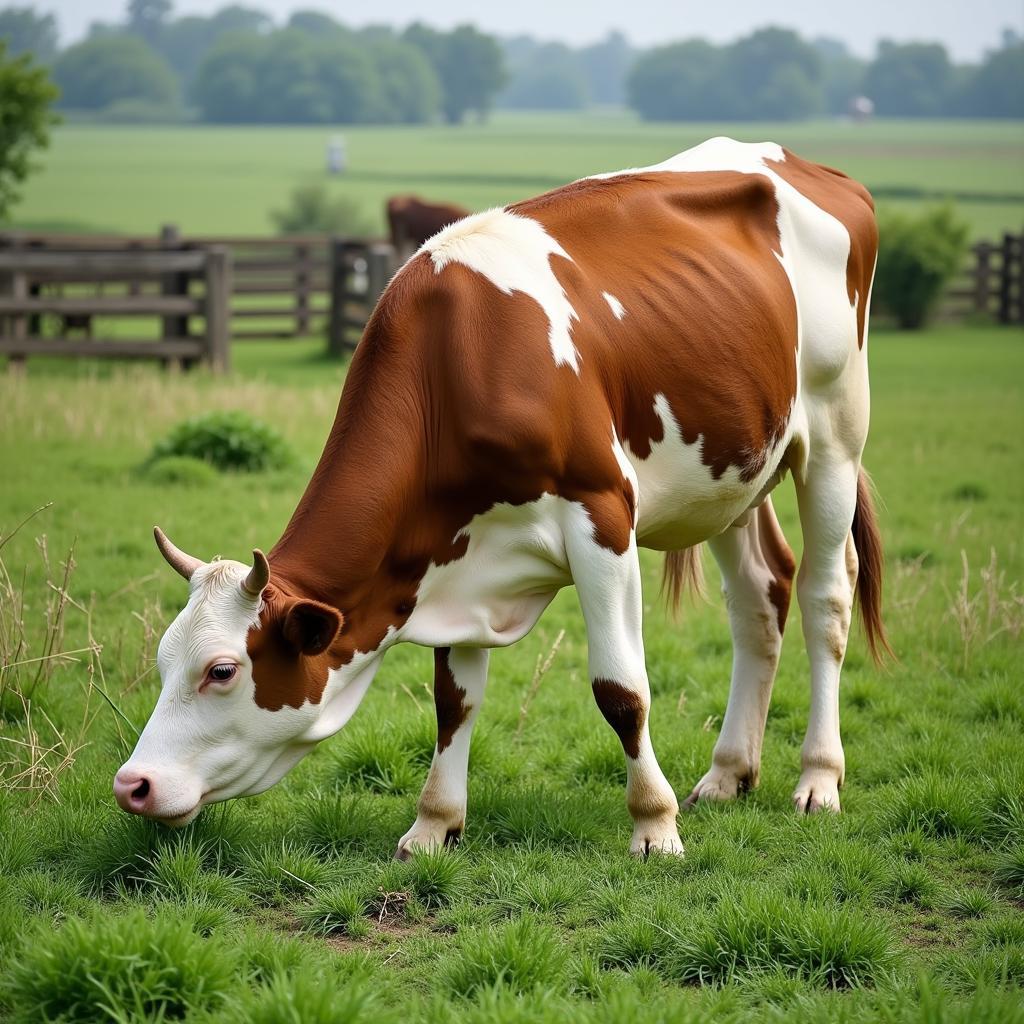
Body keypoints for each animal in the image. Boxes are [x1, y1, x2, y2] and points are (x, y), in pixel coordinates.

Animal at [116, 136, 888, 856]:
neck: (457, 366)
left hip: (834, 435)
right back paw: (729, 772)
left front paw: (654, 824)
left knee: (825, 597)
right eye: (162, 658)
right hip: (733, 467)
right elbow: (453, 702)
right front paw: (434, 824)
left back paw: (819, 778)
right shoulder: (450, 553)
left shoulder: (602, 515)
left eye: (222, 670)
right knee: (761, 596)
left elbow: (621, 691)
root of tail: (810, 167)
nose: (132, 784)